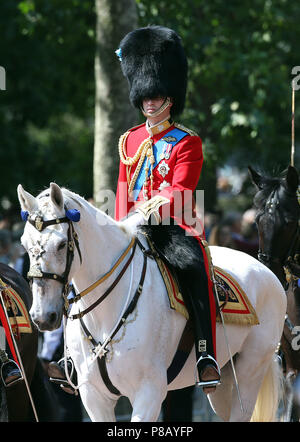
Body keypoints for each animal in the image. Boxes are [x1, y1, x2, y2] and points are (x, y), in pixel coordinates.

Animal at [17, 183, 286, 422]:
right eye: (24, 244)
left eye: (62, 244)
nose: (42, 316)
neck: (105, 312)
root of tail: (265, 270)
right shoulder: (94, 396)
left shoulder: (149, 392)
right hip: (224, 382)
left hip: (250, 370)